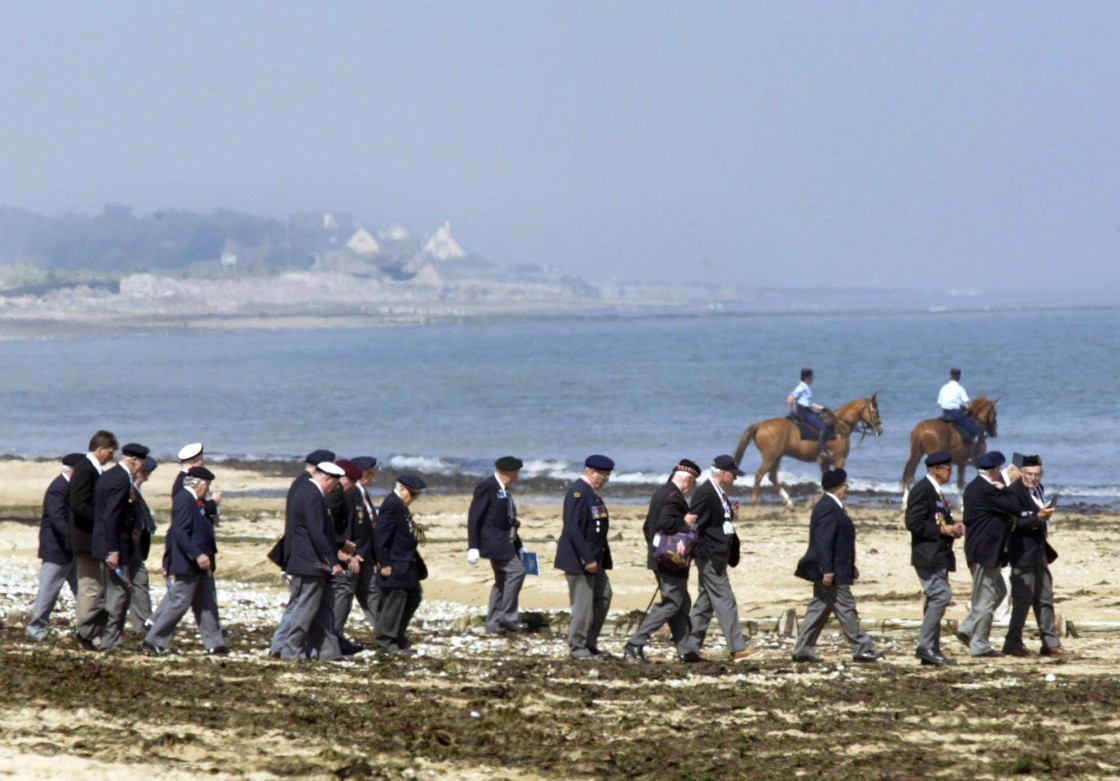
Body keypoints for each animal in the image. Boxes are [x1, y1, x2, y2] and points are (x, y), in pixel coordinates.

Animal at [734, 392, 882, 508]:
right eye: (874, 411)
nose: (880, 430)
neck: (839, 427)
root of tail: (759, 425)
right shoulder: (840, 459)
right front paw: (812, 503)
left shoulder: (825, 462)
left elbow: (825, 481)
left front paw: (812, 503)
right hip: (771, 457)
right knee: (760, 475)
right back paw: (755, 504)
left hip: (777, 457)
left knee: (772, 477)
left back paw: (789, 504)